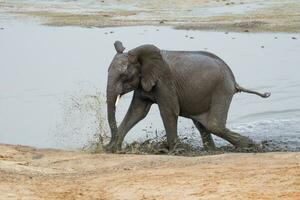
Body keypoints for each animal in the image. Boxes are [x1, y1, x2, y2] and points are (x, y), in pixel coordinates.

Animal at [106, 40, 270, 152]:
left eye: (124, 75)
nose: (106, 143)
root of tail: (234, 81)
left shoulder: (164, 81)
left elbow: (169, 111)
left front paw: (174, 151)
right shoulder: (144, 83)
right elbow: (137, 112)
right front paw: (112, 149)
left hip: (222, 89)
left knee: (214, 125)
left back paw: (255, 146)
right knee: (203, 125)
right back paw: (212, 151)